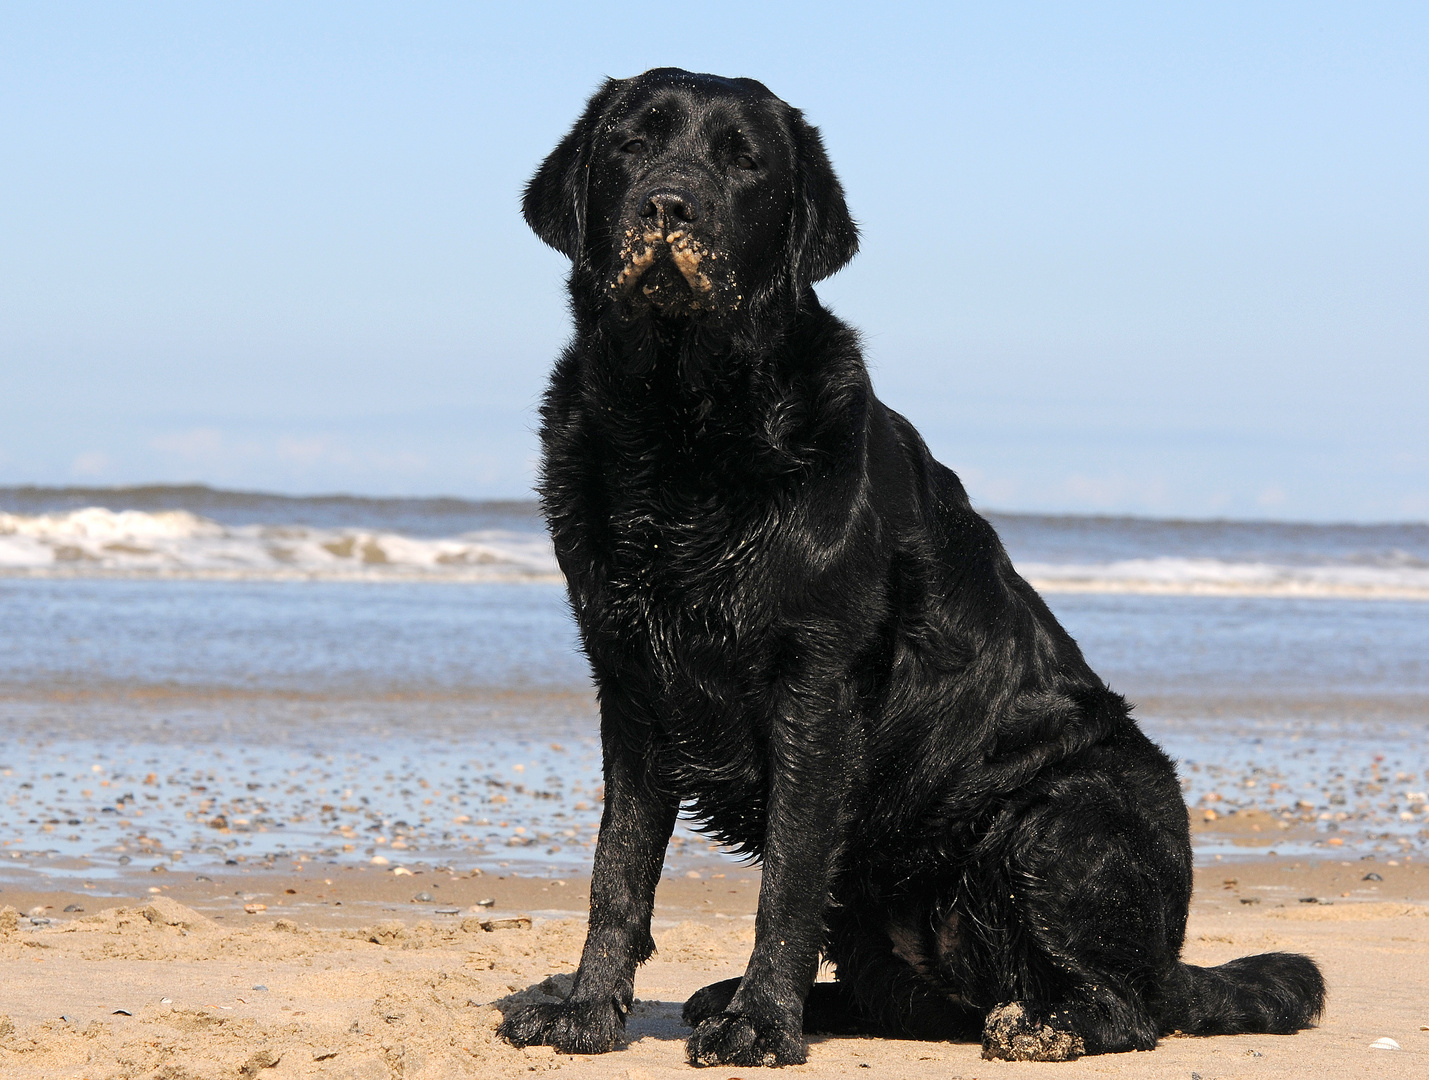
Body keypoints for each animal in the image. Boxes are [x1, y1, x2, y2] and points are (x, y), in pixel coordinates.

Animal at [503, 69, 1326, 1074]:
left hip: (1062, 814)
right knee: (899, 995)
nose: (668, 203)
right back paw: (736, 995)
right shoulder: (628, 683)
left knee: (1123, 1006)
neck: (680, 424)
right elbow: (617, 869)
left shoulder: (816, 682)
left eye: (744, 160)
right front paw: (587, 1006)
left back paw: (1037, 1022)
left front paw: (759, 1026)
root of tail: (1172, 955)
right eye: (631, 143)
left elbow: (788, 876)